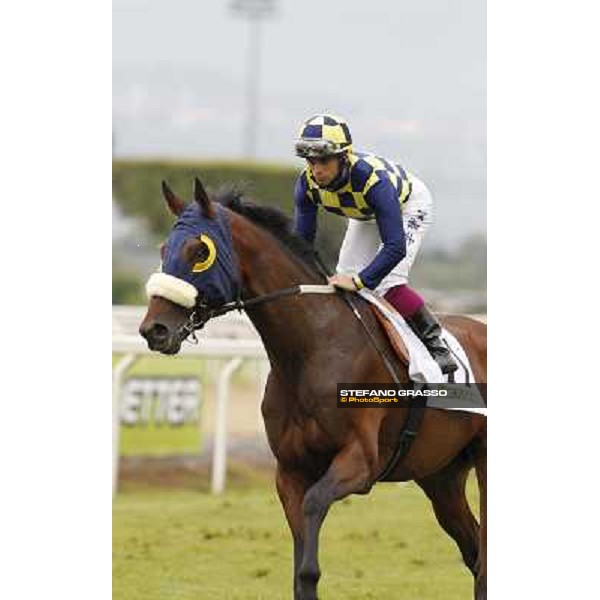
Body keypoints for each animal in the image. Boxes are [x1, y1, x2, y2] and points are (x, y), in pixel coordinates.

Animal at [139, 177, 488, 600]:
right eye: (164, 249)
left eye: (200, 251)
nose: (154, 329)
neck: (311, 348)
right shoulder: (289, 470)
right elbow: (299, 551)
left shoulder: (360, 460)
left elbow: (312, 510)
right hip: (441, 475)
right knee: (474, 551)